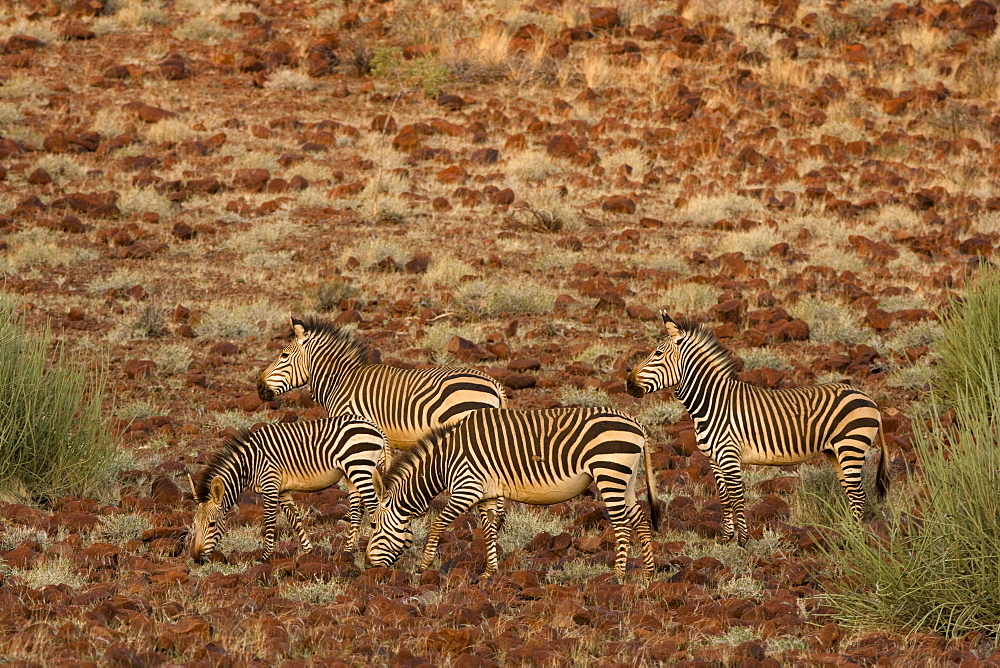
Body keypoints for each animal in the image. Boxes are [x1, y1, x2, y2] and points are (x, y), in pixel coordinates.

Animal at [189, 412, 388, 564]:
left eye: (212, 524)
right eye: (195, 524)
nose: (197, 558)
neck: (250, 463)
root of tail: (375, 427)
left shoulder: (270, 483)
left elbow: (269, 520)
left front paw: (264, 557)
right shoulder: (282, 490)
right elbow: (294, 519)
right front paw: (309, 552)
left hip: (359, 466)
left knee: (374, 506)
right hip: (352, 473)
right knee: (357, 510)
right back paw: (346, 552)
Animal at [368, 404, 664, 580]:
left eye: (373, 525)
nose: (371, 566)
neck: (443, 462)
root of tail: (636, 424)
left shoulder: (466, 487)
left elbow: (438, 523)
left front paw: (424, 566)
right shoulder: (486, 493)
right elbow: (489, 530)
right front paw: (490, 572)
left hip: (609, 471)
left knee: (622, 523)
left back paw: (618, 575)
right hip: (625, 476)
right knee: (640, 519)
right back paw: (648, 574)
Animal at [624, 310, 892, 544]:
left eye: (658, 354)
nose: (628, 383)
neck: (713, 403)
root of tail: (869, 399)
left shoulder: (729, 455)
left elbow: (737, 497)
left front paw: (743, 541)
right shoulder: (714, 459)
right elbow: (724, 498)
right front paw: (725, 539)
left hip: (851, 448)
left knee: (859, 495)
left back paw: (855, 537)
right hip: (836, 452)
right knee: (852, 494)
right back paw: (848, 533)